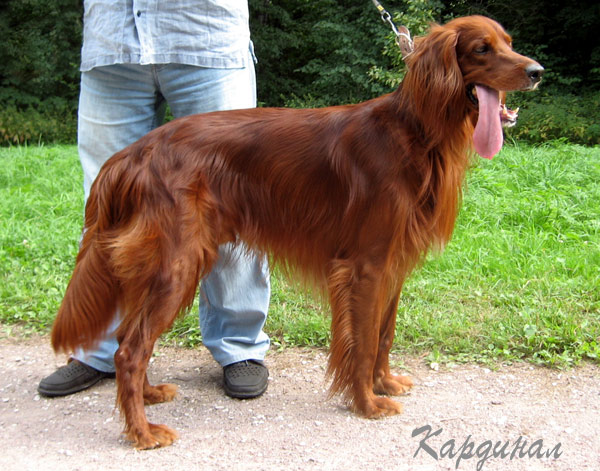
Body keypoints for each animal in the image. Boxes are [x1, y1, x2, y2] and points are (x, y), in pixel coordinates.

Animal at [50, 15, 543, 449]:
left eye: (509, 41)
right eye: (481, 49)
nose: (537, 72)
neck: (416, 132)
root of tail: (136, 152)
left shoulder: (393, 265)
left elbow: (384, 336)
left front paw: (384, 384)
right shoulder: (365, 266)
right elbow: (364, 342)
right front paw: (367, 403)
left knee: (127, 340)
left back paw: (150, 396)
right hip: (176, 265)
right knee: (129, 350)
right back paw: (142, 432)